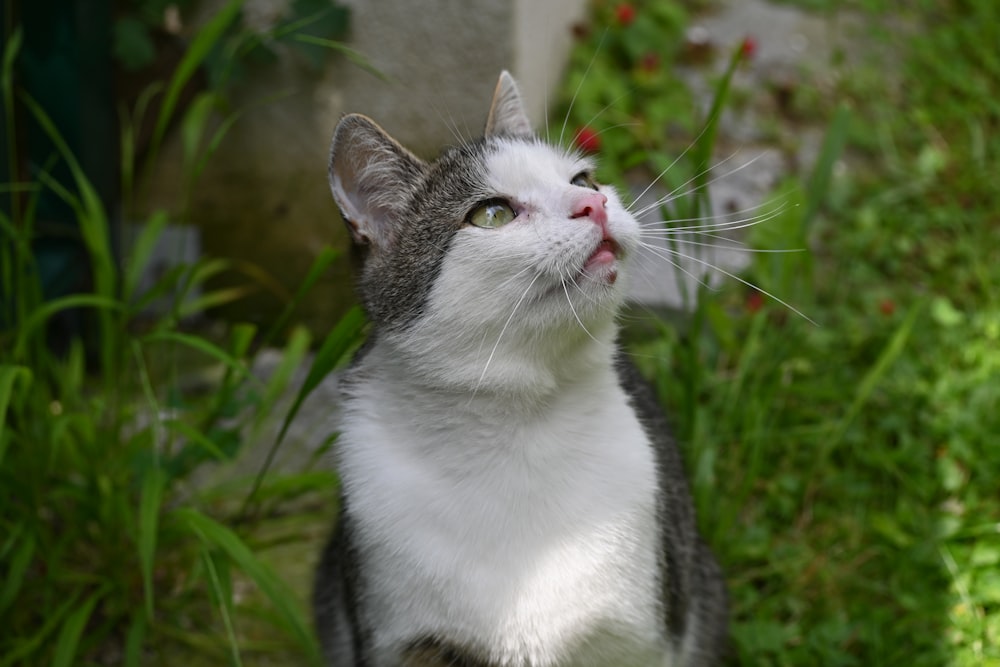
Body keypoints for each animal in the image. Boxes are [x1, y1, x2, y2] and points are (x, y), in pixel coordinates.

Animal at [312, 70, 728, 664]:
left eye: (584, 178)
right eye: (492, 214)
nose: (594, 204)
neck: (521, 427)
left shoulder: (641, 636)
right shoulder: (402, 636)